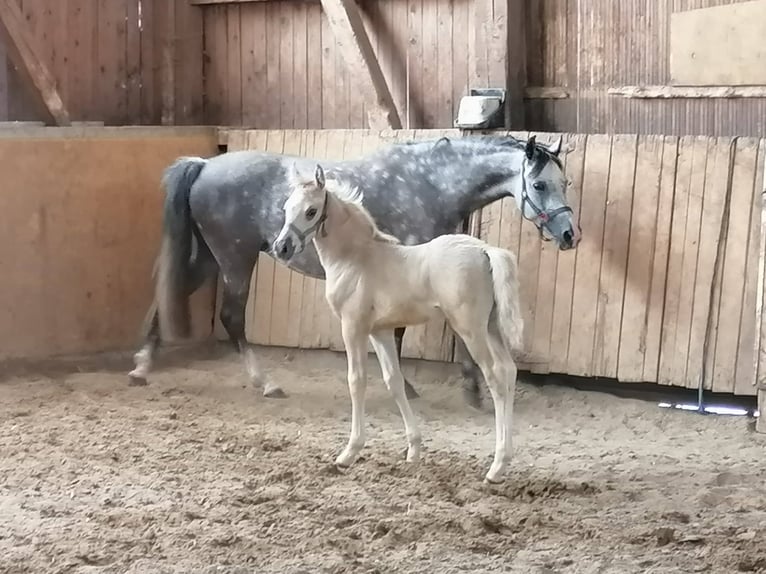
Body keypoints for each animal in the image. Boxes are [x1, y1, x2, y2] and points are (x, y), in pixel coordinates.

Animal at [132, 135, 584, 404]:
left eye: (565, 183)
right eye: (539, 185)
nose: (569, 234)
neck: (431, 183)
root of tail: (205, 165)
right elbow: (406, 331)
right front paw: (429, 387)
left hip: (212, 259)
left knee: (169, 294)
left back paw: (141, 367)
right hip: (235, 258)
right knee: (231, 316)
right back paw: (266, 383)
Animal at [276, 164, 528, 484]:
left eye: (310, 211)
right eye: (286, 208)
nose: (281, 247)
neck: (355, 258)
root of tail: (485, 250)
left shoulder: (353, 327)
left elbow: (356, 381)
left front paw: (349, 453)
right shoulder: (380, 331)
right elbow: (394, 382)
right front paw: (414, 450)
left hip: (471, 329)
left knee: (495, 376)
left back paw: (496, 468)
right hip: (491, 327)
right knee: (508, 371)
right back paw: (503, 460)